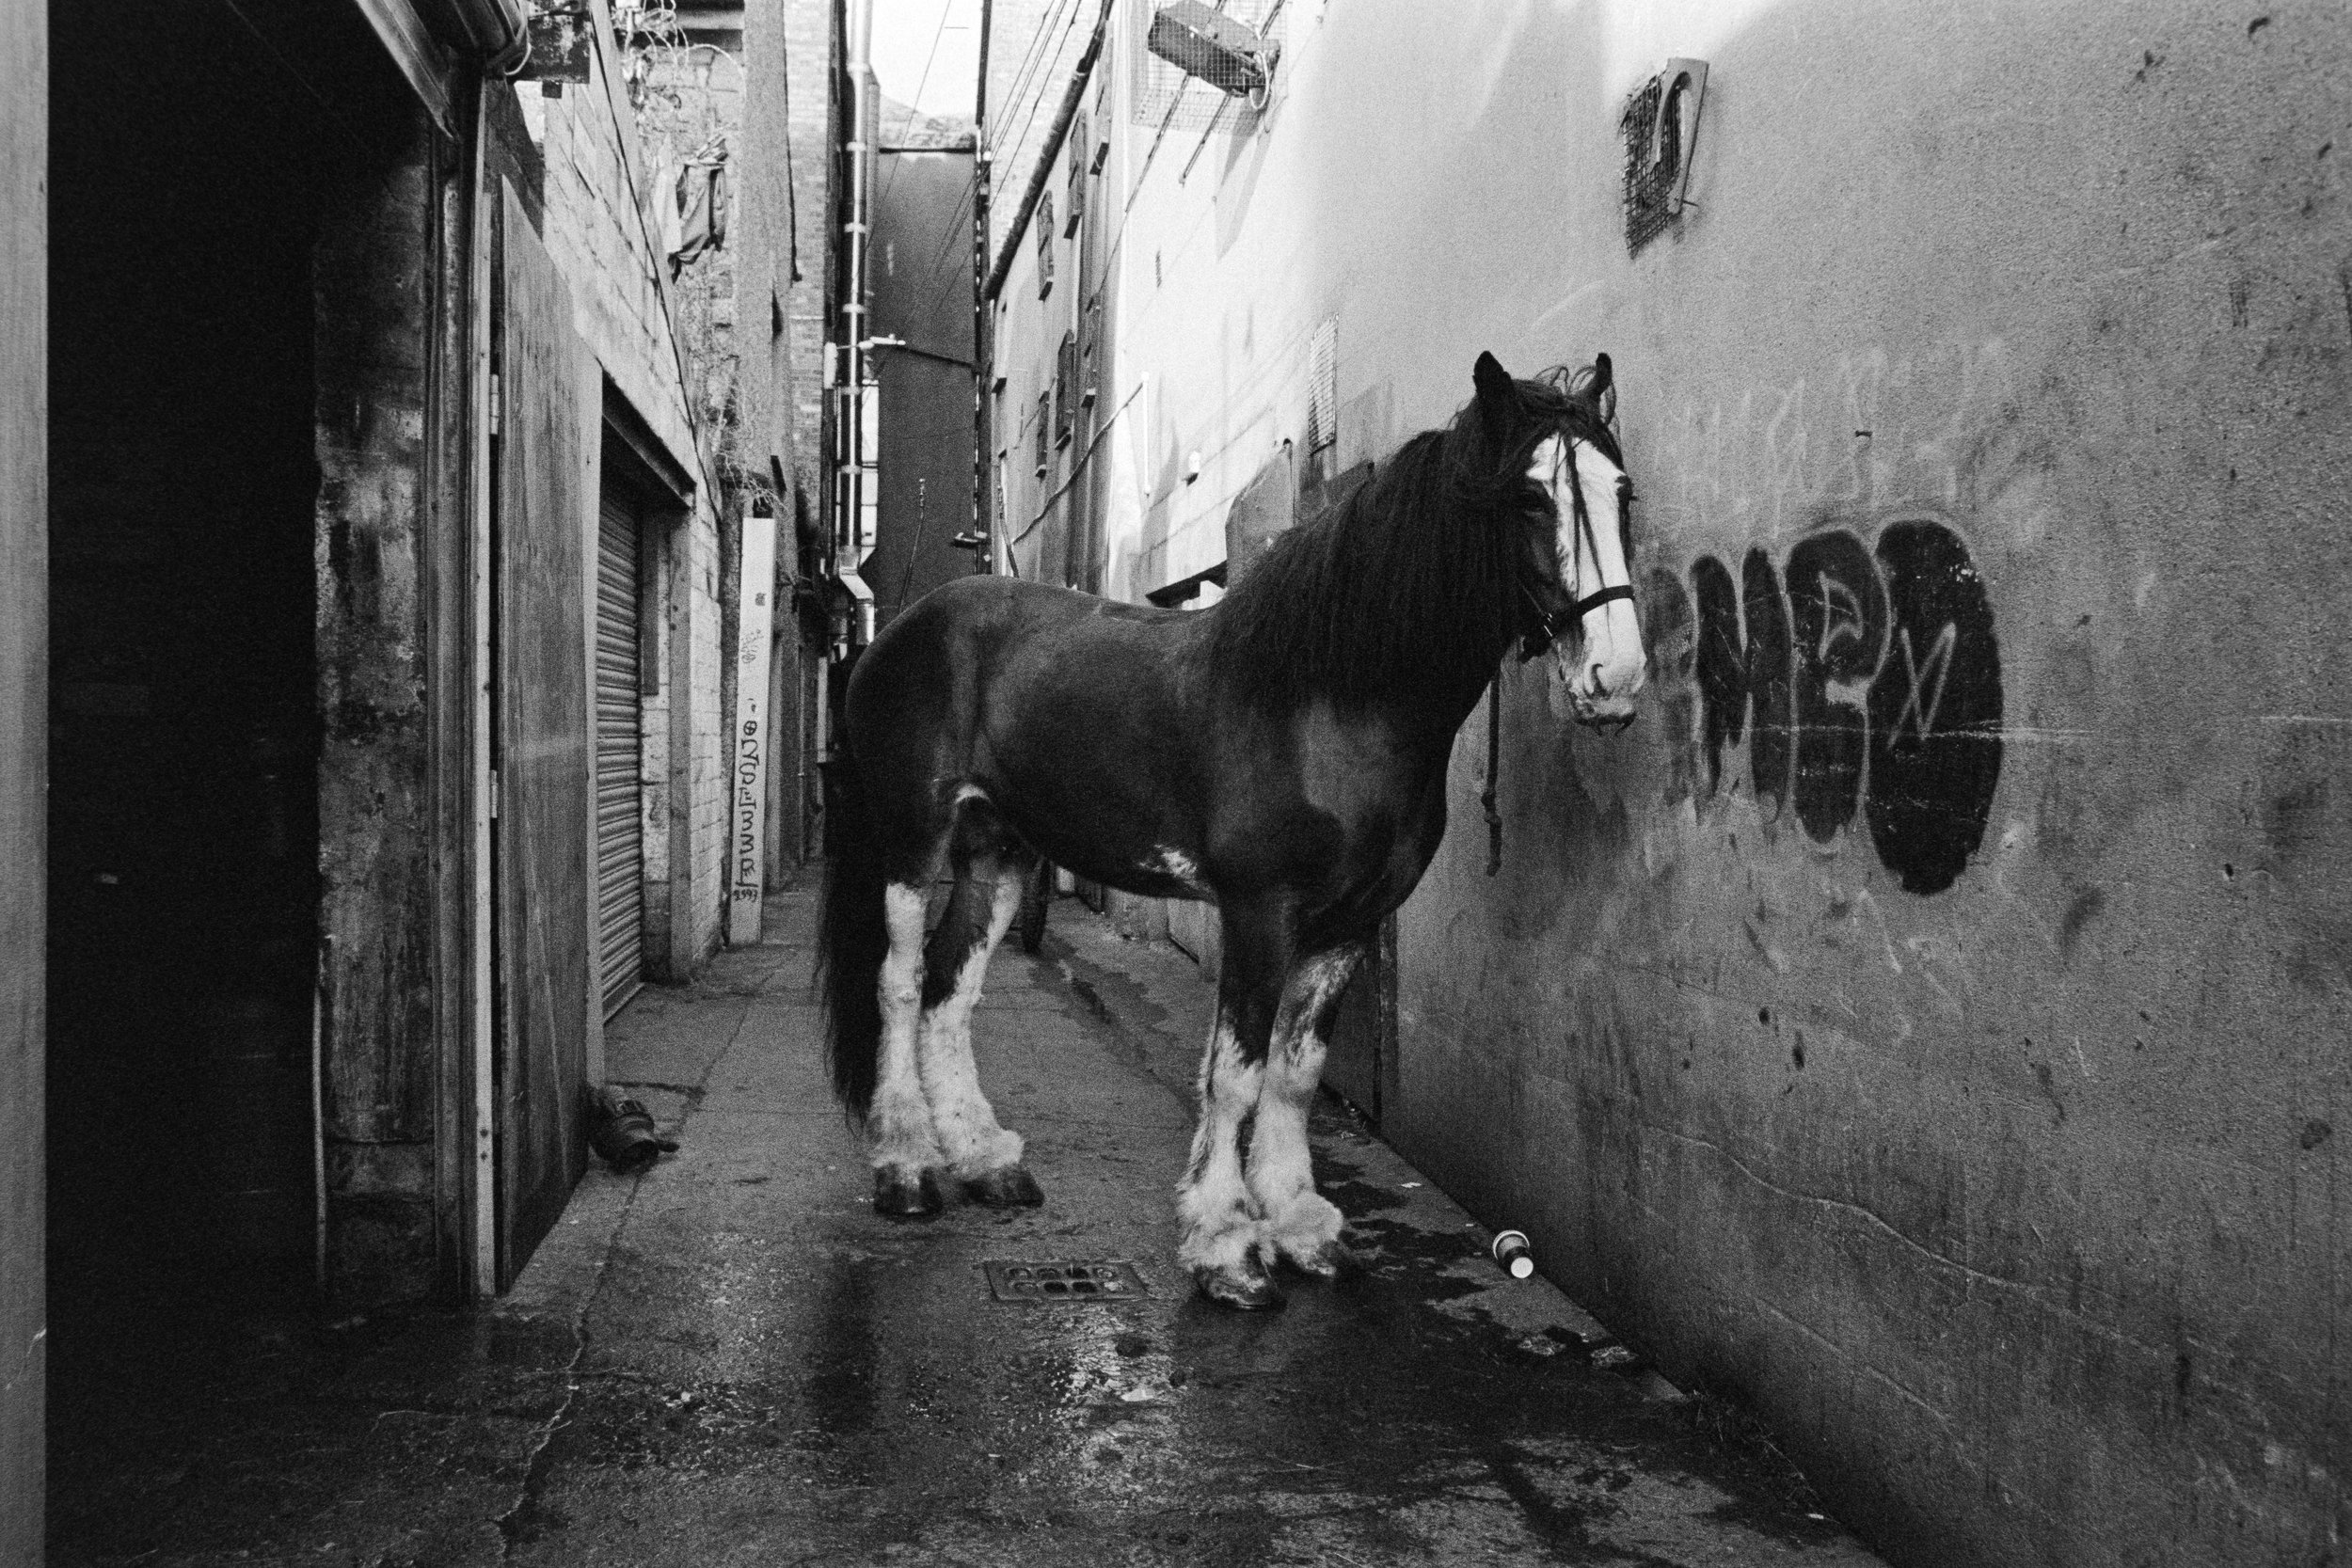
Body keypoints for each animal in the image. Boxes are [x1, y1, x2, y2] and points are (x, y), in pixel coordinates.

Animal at [818, 351, 1645, 1309]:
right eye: (1530, 498)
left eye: (1621, 491)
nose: (1616, 674)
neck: (1329, 700)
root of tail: (898, 633)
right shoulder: (1260, 912)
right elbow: (1235, 1073)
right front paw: (1225, 1247)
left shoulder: (1349, 923)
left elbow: (1295, 1072)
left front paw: (1302, 1226)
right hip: (912, 840)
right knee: (901, 982)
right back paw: (908, 1169)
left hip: (999, 850)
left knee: (953, 989)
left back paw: (988, 1161)